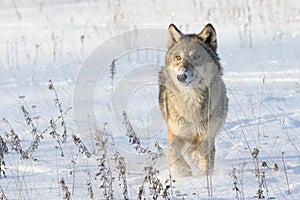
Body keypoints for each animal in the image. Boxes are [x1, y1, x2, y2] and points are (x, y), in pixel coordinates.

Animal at [159, 23, 227, 177]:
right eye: (178, 58)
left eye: (196, 57)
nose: (181, 76)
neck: (192, 100)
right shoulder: (176, 133)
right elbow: (171, 151)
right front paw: (184, 171)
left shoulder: (207, 136)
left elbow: (204, 153)